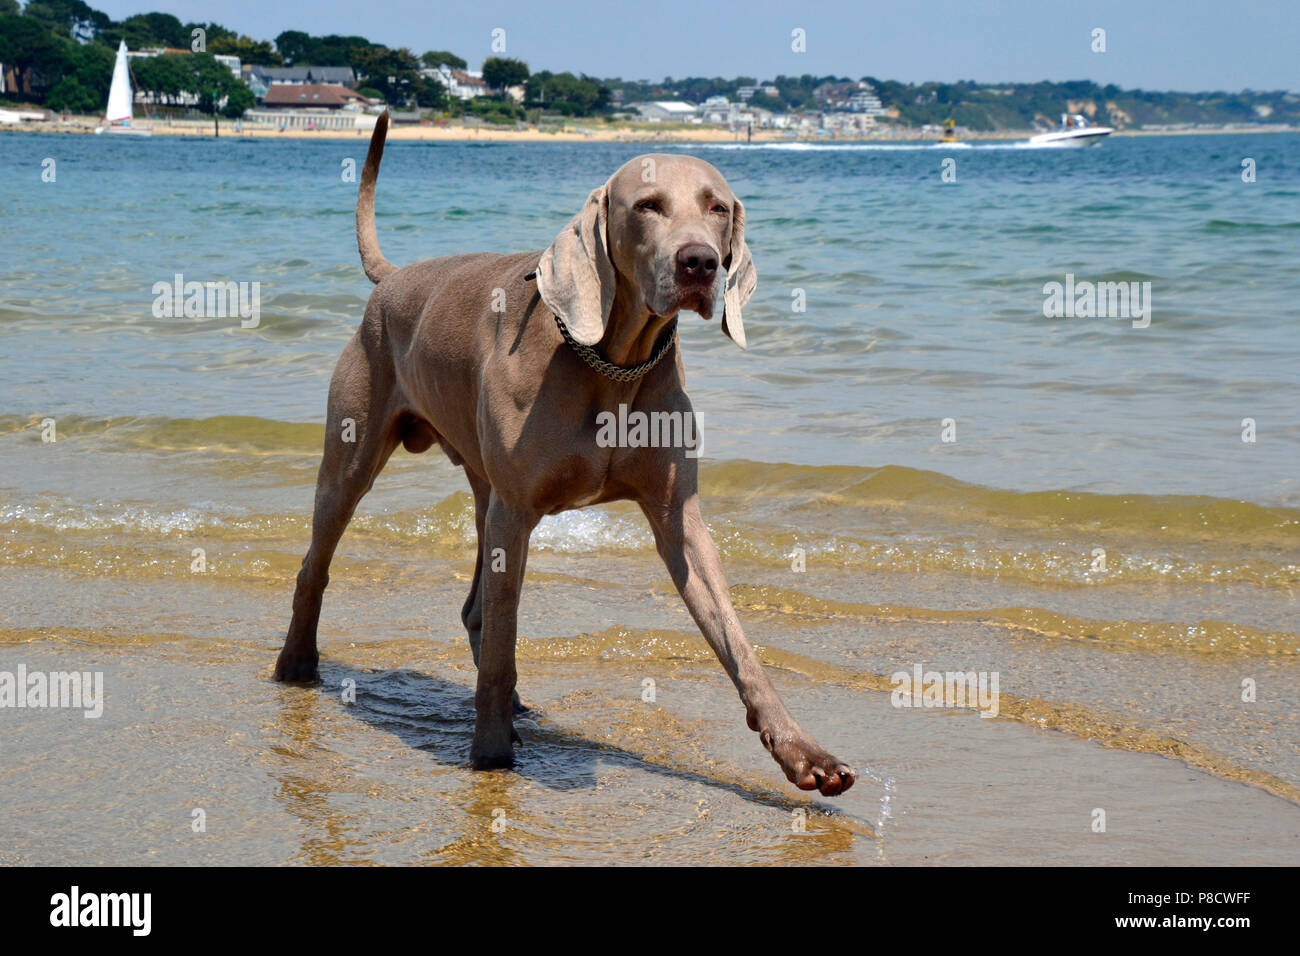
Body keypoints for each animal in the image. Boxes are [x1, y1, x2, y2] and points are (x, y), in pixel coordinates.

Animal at [274, 111, 852, 801]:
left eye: (717, 208)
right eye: (648, 206)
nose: (700, 263)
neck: (615, 361)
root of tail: (392, 278)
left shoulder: (677, 515)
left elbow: (738, 645)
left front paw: (801, 751)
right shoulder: (517, 510)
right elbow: (505, 637)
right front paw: (491, 753)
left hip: (482, 488)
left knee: (474, 608)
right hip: (356, 454)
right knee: (318, 561)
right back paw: (297, 664)